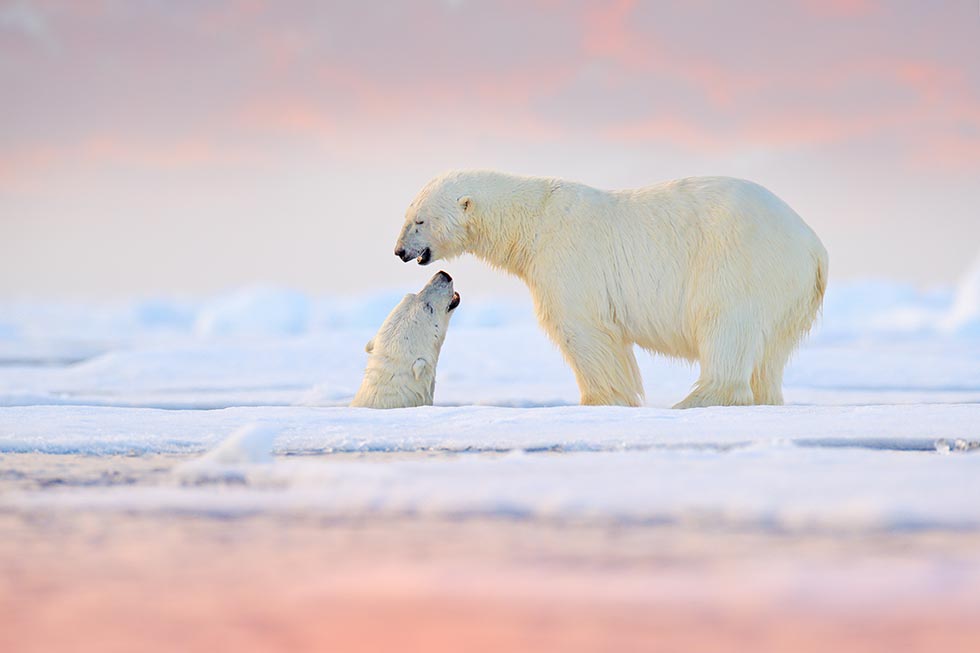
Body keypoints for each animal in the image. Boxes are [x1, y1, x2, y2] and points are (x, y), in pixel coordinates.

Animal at [390, 171, 828, 404]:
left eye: (420, 221)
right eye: (409, 215)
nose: (400, 251)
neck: (533, 222)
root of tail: (813, 246)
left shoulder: (568, 261)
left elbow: (583, 332)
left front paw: (600, 401)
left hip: (739, 263)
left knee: (726, 325)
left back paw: (693, 401)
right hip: (790, 295)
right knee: (770, 355)